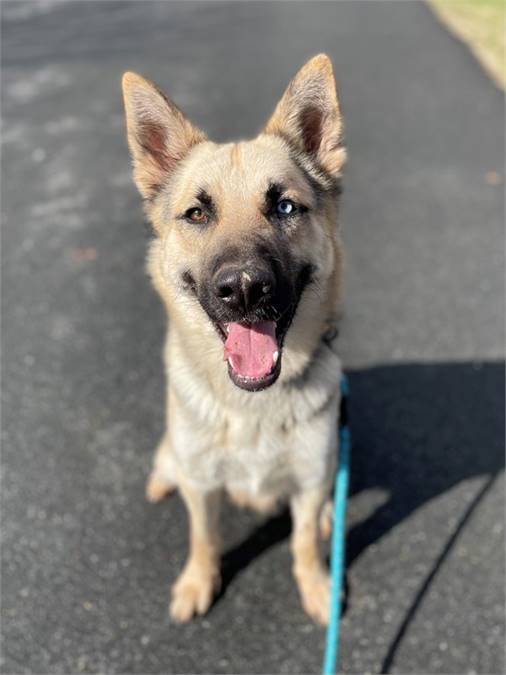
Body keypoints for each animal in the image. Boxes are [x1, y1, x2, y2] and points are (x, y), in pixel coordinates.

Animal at [120, 55, 346, 624]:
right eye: (197, 213)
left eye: (285, 208)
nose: (244, 288)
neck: (253, 407)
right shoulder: (202, 485)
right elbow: (204, 537)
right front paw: (199, 582)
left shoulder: (311, 480)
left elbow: (303, 541)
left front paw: (317, 584)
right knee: (169, 461)